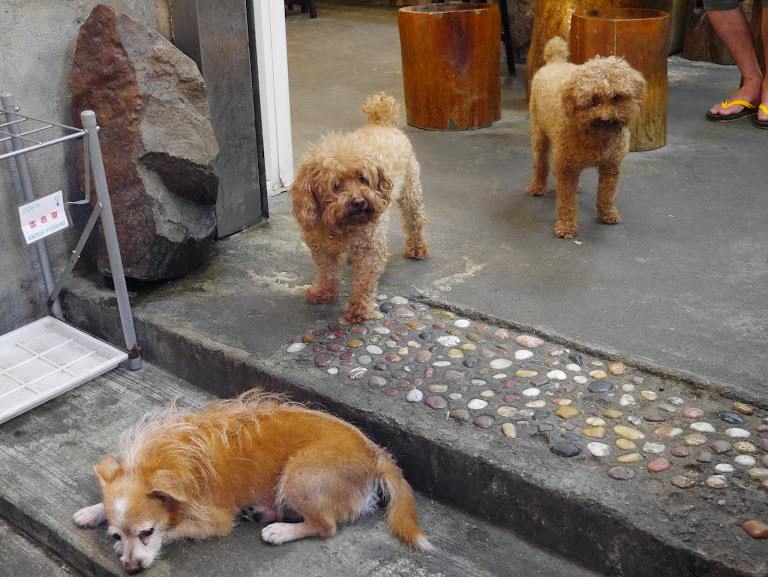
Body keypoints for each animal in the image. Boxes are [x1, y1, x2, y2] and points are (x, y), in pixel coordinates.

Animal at [73, 391, 431, 573]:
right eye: (116, 532)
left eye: (146, 532)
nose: (131, 568)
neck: (167, 456)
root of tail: (376, 453)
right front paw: (94, 512)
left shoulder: (214, 522)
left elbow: (176, 529)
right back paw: (263, 512)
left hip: (300, 474)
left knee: (325, 525)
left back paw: (280, 531)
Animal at [291, 93, 428, 323]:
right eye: (336, 185)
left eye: (362, 177)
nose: (359, 202)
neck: (341, 224)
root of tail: (382, 122)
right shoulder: (321, 248)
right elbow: (327, 272)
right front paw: (324, 292)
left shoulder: (371, 247)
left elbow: (364, 281)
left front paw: (359, 309)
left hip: (411, 191)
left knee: (415, 220)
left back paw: (417, 248)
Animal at [527, 37, 646, 238]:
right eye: (593, 100)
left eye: (616, 96)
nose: (606, 119)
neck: (596, 136)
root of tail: (555, 61)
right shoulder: (567, 167)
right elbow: (566, 201)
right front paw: (567, 226)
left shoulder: (611, 166)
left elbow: (607, 194)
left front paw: (607, 214)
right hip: (540, 135)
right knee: (541, 164)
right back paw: (537, 186)